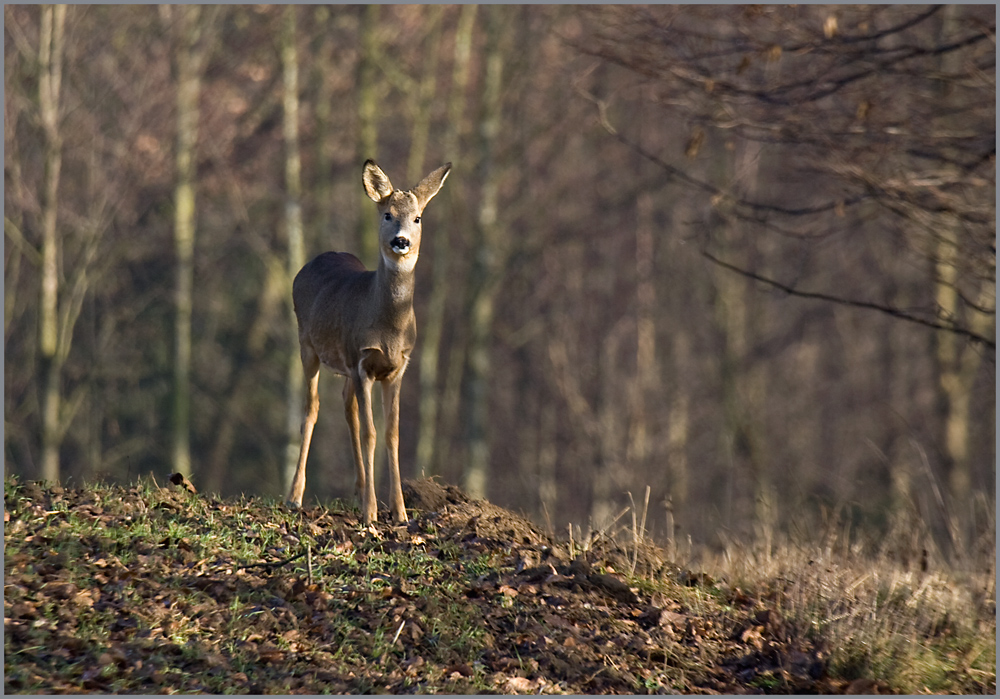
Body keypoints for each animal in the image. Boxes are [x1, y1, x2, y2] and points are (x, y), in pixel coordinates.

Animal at [284, 157, 452, 520]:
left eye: (417, 218)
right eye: (387, 214)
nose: (401, 241)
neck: (388, 326)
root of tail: (316, 259)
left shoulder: (397, 367)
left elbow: (392, 433)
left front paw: (400, 511)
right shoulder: (362, 361)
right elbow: (370, 432)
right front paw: (372, 512)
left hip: (343, 366)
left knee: (346, 407)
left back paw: (359, 491)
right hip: (307, 345)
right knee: (312, 409)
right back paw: (295, 496)